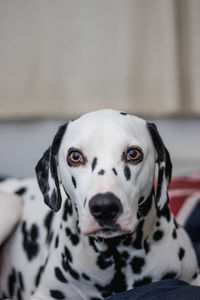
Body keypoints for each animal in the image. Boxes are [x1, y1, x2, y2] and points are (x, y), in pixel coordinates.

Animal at [0, 110, 199, 300]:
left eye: (133, 154)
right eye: (75, 156)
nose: (104, 207)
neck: (115, 256)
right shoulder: (45, 295)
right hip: (12, 205)